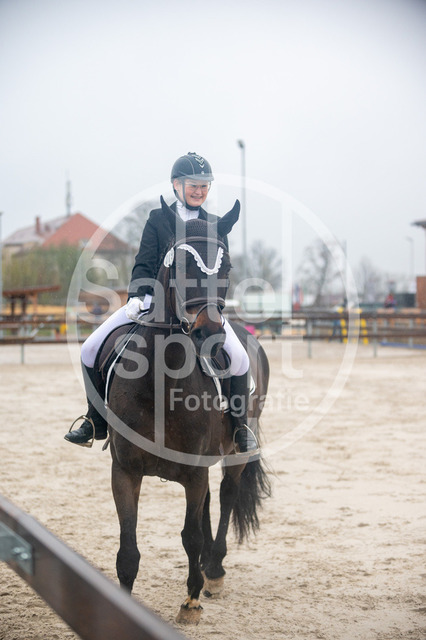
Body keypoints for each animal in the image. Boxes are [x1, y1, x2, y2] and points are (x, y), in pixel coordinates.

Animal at [102, 197, 271, 624]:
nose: (209, 332)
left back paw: (214, 571)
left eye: (226, 268)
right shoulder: (125, 470)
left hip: (235, 451)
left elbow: (189, 536)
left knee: (226, 496)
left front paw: (191, 601)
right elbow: (128, 546)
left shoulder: (194, 472)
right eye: (181, 266)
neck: (162, 381)